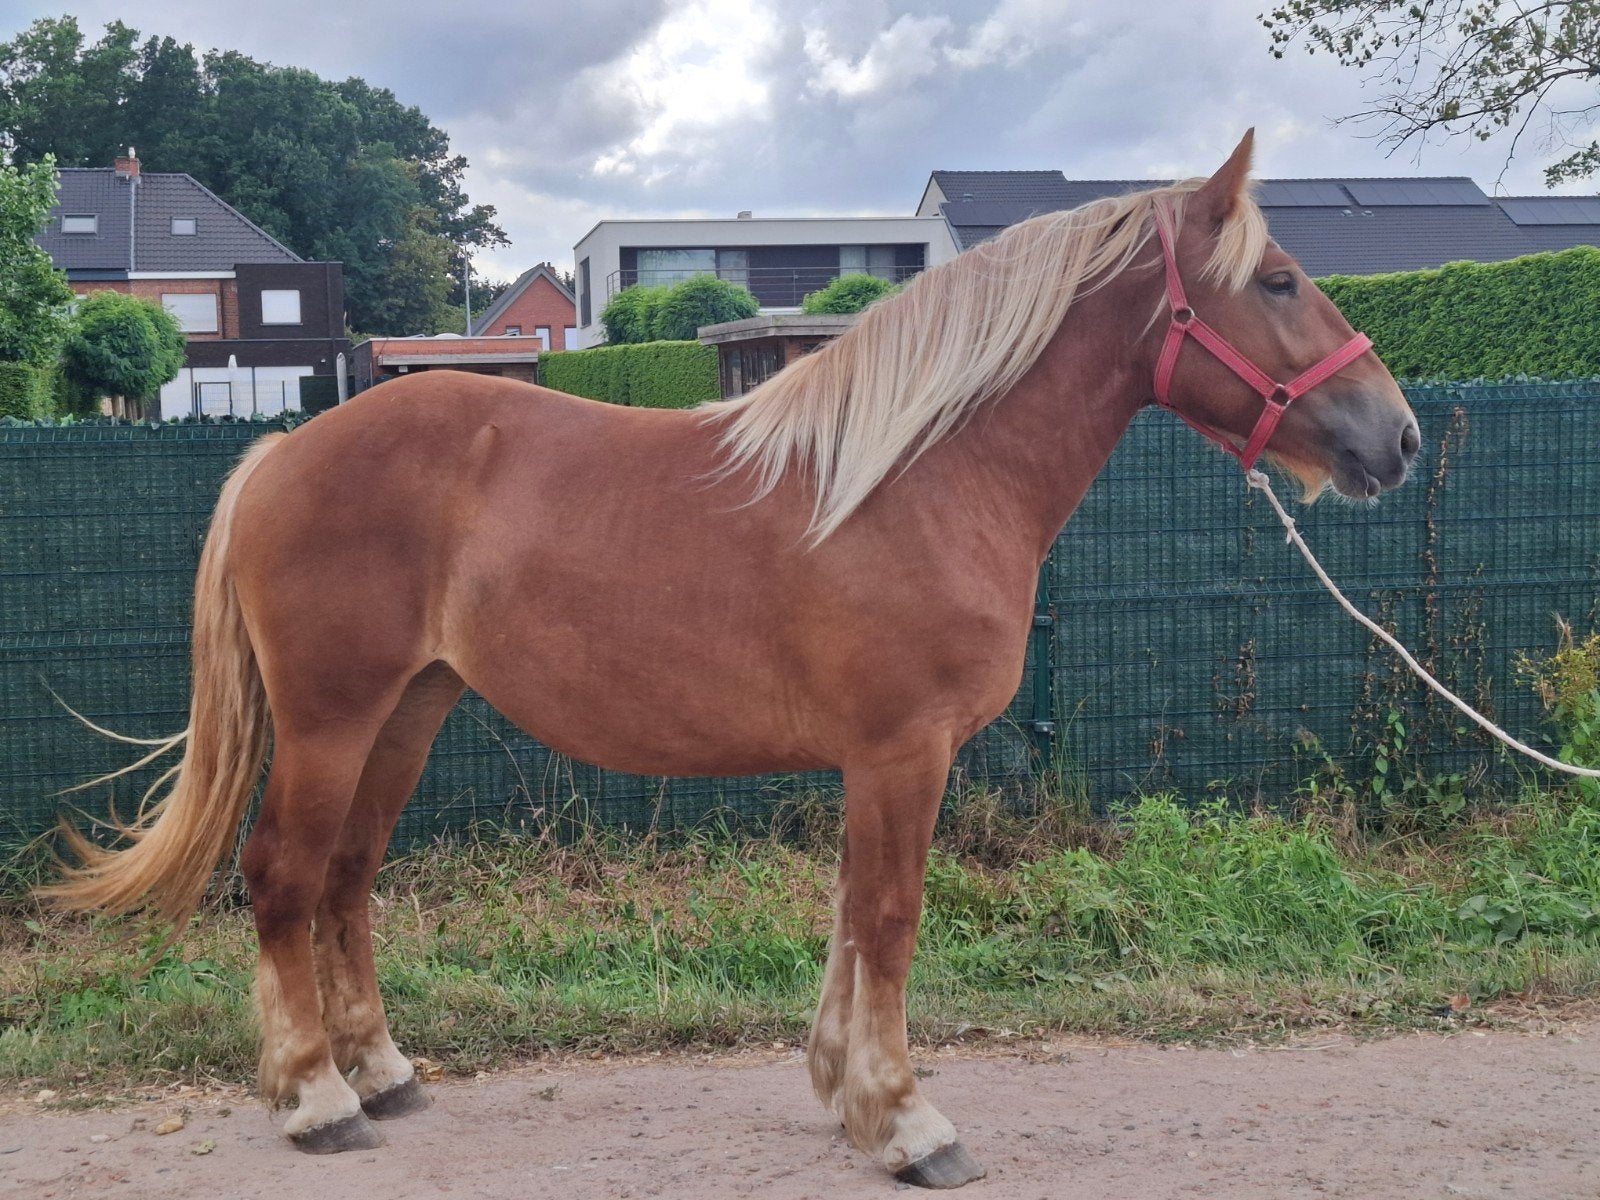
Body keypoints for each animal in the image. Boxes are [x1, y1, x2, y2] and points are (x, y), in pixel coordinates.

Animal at [45, 131, 1418, 1188]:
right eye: (1280, 280)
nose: (1395, 437)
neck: (922, 479)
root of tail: (283, 452)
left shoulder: (875, 759)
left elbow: (851, 915)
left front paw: (844, 1089)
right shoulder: (903, 751)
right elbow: (890, 917)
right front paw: (906, 1120)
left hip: (408, 714)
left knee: (345, 879)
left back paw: (380, 1071)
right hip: (335, 717)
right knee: (281, 876)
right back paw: (316, 1098)